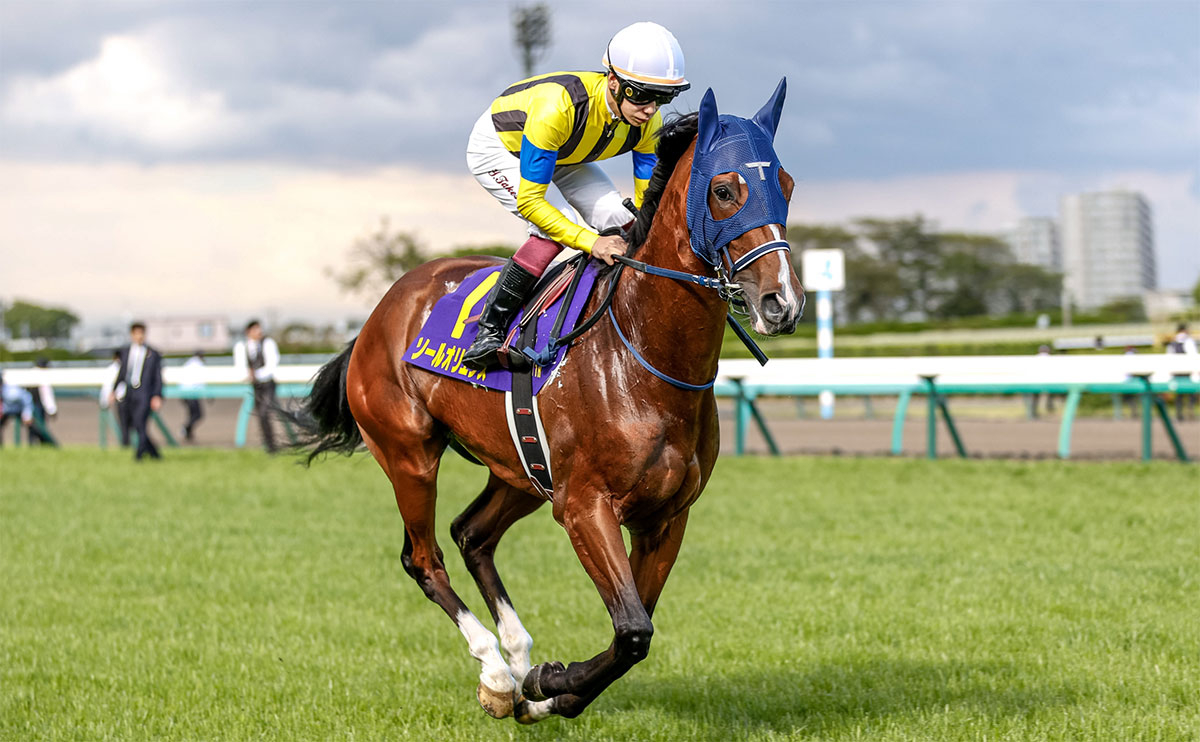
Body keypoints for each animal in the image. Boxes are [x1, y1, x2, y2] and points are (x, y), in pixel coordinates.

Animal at [298, 82, 801, 720]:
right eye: (724, 189)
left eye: (786, 183)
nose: (782, 302)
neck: (640, 356)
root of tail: (380, 311)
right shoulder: (585, 506)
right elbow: (632, 631)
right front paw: (546, 684)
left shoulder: (667, 517)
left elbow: (634, 631)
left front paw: (546, 690)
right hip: (409, 455)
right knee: (424, 557)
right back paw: (495, 671)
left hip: (520, 468)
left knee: (472, 534)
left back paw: (517, 658)